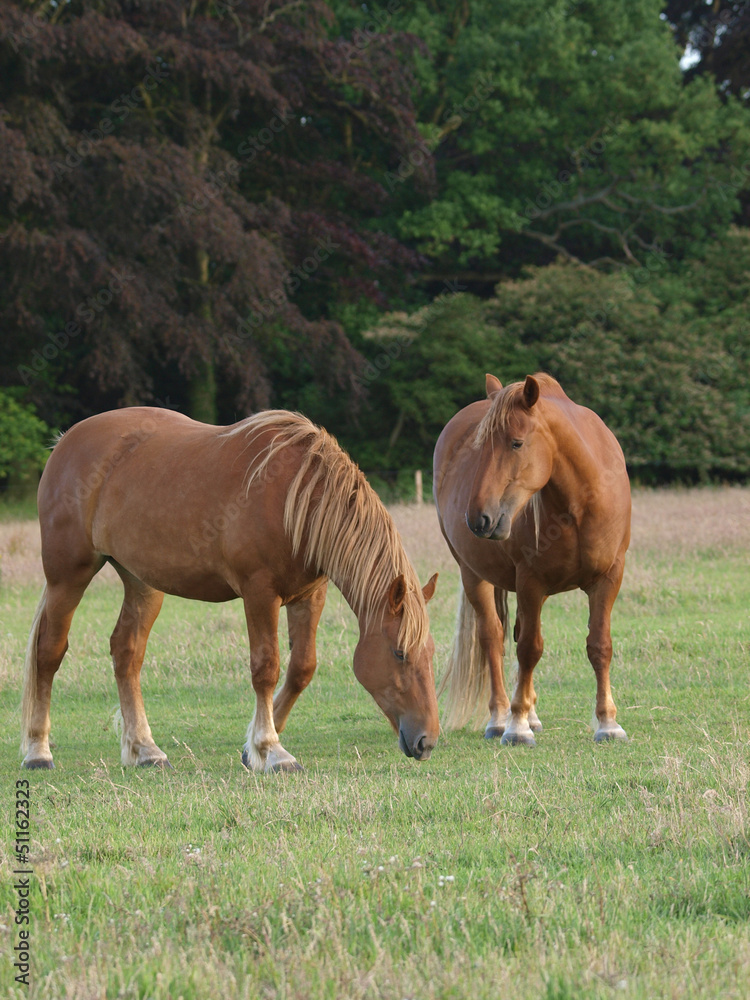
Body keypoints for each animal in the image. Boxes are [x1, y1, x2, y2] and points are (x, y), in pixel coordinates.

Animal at [22, 410, 440, 768]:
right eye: (400, 653)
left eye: (431, 653)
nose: (427, 740)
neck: (296, 497)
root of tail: (66, 441)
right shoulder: (259, 593)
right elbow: (266, 667)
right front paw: (270, 749)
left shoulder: (308, 596)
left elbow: (301, 667)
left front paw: (255, 743)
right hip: (68, 576)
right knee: (49, 652)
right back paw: (37, 750)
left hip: (142, 584)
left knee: (127, 653)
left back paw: (145, 750)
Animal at [434, 374, 636, 744]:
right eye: (479, 447)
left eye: (516, 443)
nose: (477, 518)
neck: (582, 503)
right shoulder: (531, 581)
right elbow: (529, 648)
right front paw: (516, 727)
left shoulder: (609, 578)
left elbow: (600, 646)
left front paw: (608, 723)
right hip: (474, 575)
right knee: (493, 638)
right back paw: (501, 717)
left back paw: (531, 713)